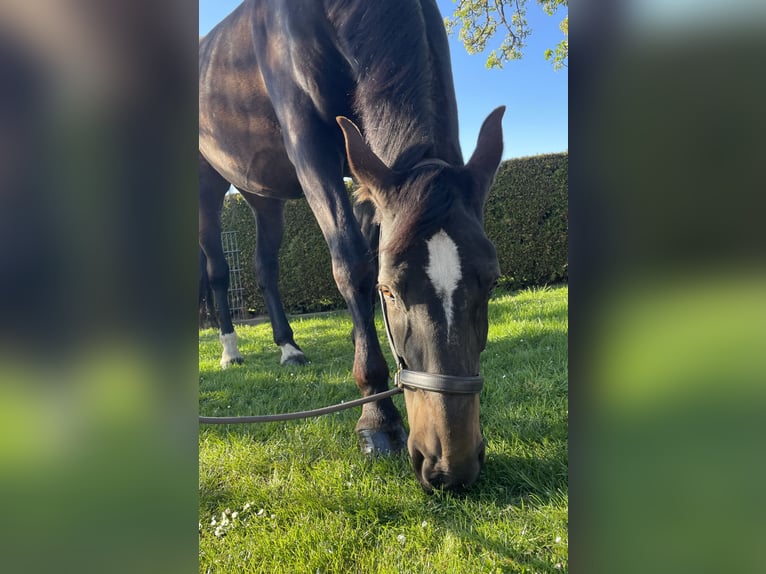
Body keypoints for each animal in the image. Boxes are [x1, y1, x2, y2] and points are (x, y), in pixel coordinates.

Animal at [199, 0, 504, 492]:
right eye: (389, 290)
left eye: (492, 282)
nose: (451, 465)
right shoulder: (312, 148)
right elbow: (350, 261)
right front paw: (377, 415)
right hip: (207, 185)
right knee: (217, 270)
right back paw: (230, 349)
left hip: (262, 197)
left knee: (265, 266)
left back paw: (288, 348)